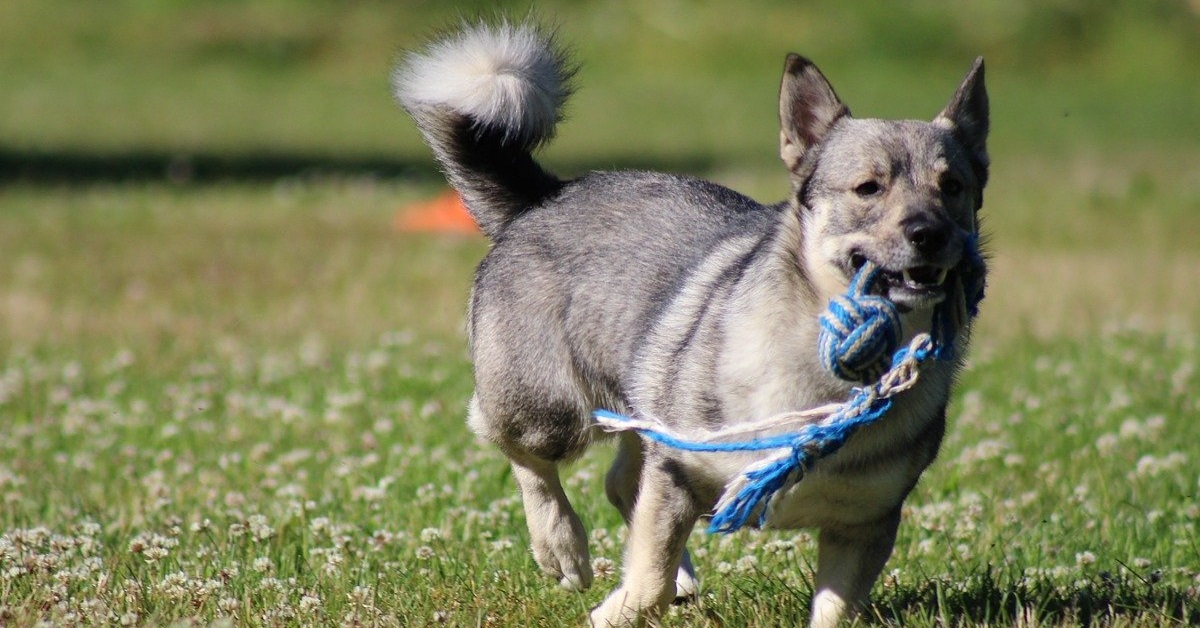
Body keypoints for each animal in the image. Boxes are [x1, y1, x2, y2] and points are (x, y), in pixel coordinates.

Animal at [391, 20, 984, 628]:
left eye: (953, 187)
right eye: (869, 188)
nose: (930, 233)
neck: (828, 383)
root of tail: (545, 196)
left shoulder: (863, 524)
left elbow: (834, 610)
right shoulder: (677, 471)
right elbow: (647, 573)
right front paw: (617, 610)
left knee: (621, 483)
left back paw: (672, 573)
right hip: (550, 409)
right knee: (513, 443)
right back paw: (563, 548)